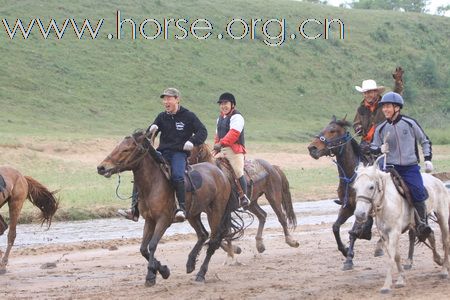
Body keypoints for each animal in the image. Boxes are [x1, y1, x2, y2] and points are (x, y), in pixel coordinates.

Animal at [97, 132, 246, 286]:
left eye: (126, 150)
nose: (101, 168)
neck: (153, 184)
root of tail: (222, 175)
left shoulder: (163, 220)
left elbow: (152, 245)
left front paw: (152, 275)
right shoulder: (149, 220)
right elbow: (143, 249)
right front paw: (162, 270)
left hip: (215, 213)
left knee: (213, 241)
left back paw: (201, 274)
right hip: (193, 214)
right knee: (203, 234)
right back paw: (190, 263)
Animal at [306, 116, 414, 270]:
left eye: (332, 131)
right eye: (324, 128)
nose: (312, 148)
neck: (352, 175)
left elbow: (354, 232)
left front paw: (349, 257)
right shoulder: (348, 207)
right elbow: (335, 228)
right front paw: (345, 251)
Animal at [354, 161, 448, 294]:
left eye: (371, 187)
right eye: (355, 188)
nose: (359, 214)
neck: (386, 202)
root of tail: (439, 181)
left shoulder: (394, 232)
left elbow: (391, 257)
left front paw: (386, 286)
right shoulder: (385, 234)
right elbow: (396, 256)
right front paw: (401, 279)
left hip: (443, 218)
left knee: (445, 241)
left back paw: (444, 270)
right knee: (430, 235)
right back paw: (438, 259)